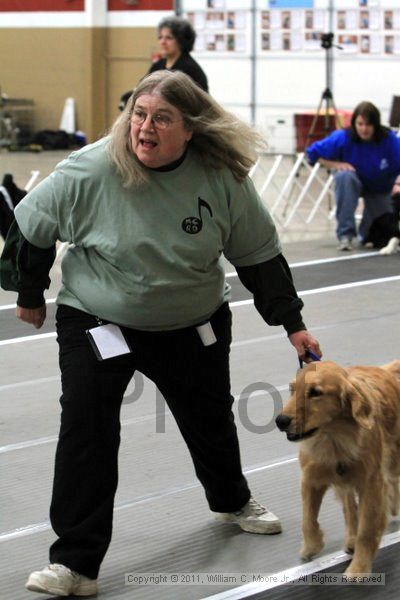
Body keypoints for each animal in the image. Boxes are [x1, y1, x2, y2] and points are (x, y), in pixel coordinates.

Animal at [276, 360, 400, 576]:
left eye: (315, 392)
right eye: (292, 389)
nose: (280, 421)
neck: (334, 439)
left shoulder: (371, 485)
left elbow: (367, 530)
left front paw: (359, 568)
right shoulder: (310, 479)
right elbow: (308, 520)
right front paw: (311, 546)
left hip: (393, 459)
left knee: (392, 480)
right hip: (345, 483)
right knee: (349, 509)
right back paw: (350, 538)